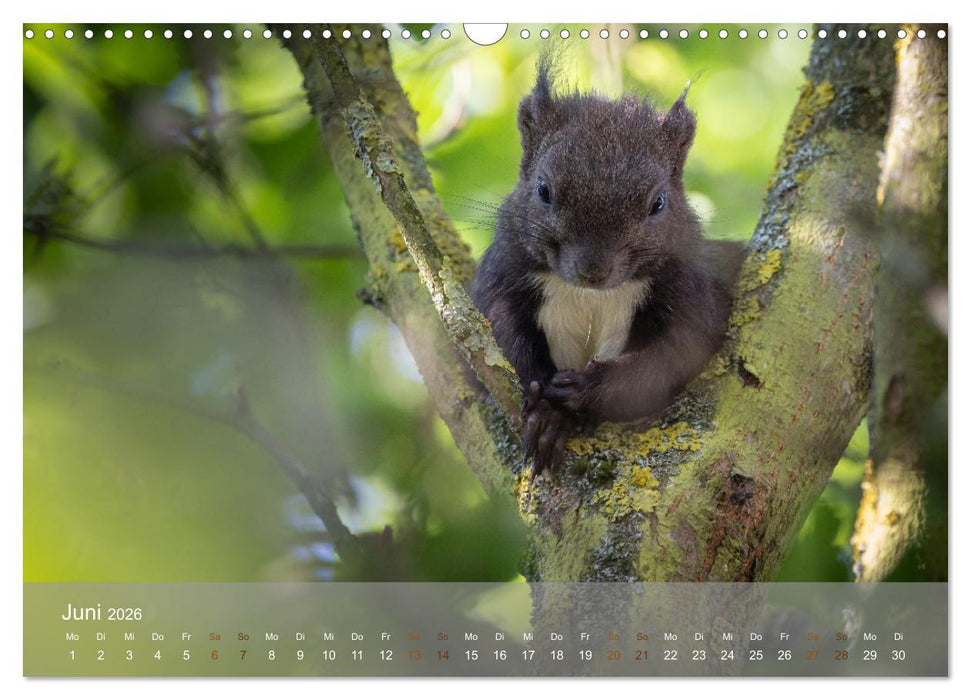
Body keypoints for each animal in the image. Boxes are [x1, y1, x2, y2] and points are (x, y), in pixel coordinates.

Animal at [470, 59, 745, 479]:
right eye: (542, 190)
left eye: (658, 203)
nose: (593, 269)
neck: (590, 295)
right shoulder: (501, 278)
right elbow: (500, 336)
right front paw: (545, 411)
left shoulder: (691, 295)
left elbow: (666, 361)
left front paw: (585, 390)